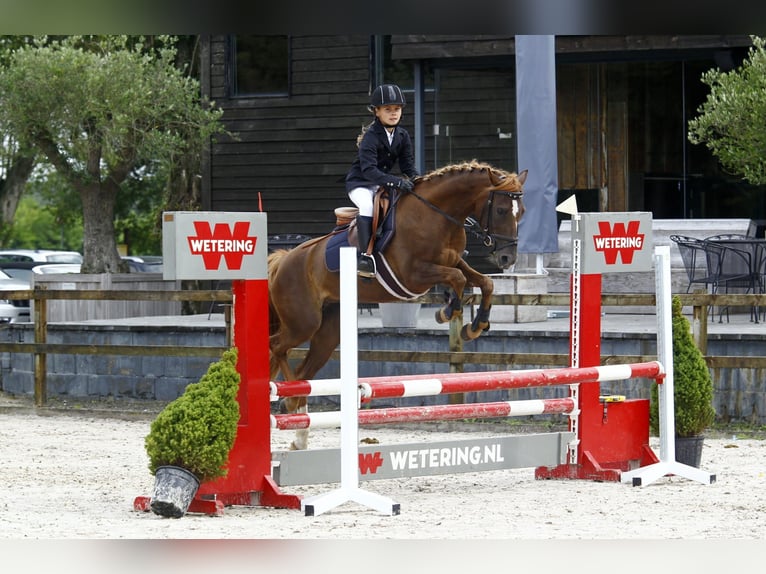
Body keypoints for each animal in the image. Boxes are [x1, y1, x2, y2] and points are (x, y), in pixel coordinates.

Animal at [270, 161, 528, 450]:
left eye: (521, 212)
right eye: (501, 210)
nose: (507, 258)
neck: (436, 214)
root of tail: (283, 260)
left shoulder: (454, 262)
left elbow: (485, 282)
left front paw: (476, 325)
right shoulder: (414, 275)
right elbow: (458, 279)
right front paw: (447, 311)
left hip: (328, 332)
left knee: (302, 370)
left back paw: (299, 437)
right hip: (303, 323)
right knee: (276, 346)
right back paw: (288, 399)